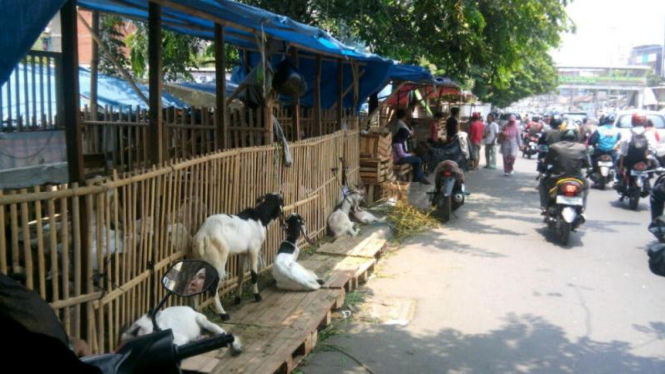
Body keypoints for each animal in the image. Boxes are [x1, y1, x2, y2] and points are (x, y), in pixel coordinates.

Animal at [189, 191, 282, 320]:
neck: (259, 217)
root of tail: (202, 237)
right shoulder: (253, 250)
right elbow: (254, 274)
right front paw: (257, 296)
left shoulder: (243, 253)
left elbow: (241, 275)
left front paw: (238, 298)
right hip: (217, 262)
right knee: (213, 287)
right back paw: (223, 314)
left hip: (199, 259)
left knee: (194, 282)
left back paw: (196, 311)